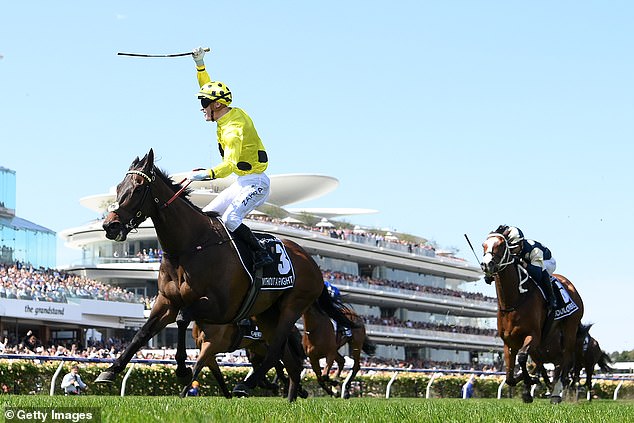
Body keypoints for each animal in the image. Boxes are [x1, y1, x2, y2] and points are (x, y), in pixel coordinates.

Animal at [99, 149, 326, 400]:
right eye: (119, 187)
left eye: (138, 188)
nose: (110, 225)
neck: (191, 245)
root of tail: (311, 260)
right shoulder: (166, 301)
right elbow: (142, 333)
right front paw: (110, 370)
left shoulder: (221, 308)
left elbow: (183, 319)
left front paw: (182, 370)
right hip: (267, 314)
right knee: (289, 360)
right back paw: (288, 397)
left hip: (292, 306)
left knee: (276, 349)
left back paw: (247, 384)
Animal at [478, 227, 584, 406]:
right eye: (483, 245)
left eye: (501, 245)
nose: (486, 264)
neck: (514, 300)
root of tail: (570, 285)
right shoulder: (509, 342)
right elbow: (510, 376)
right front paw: (529, 384)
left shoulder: (532, 335)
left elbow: (522, 359)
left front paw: (532, 381)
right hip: (547, 339)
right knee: (548, 361)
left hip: (569, 328)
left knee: (565, 359)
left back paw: (555, 393)